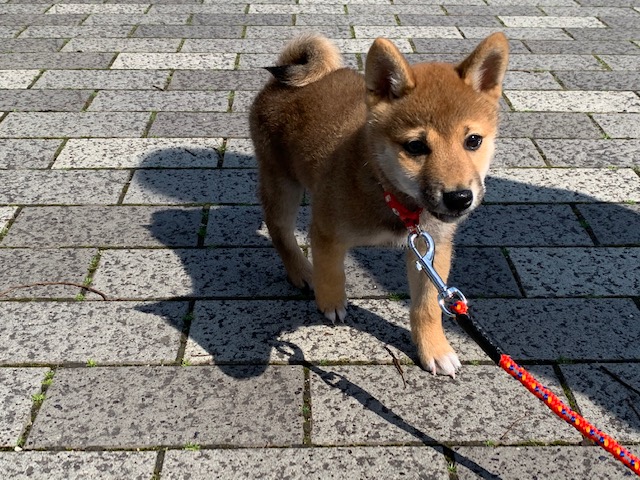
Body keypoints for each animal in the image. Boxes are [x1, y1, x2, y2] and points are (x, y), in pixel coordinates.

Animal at [250, 33, 510, 378]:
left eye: (473, 141)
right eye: (415, 146)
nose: (459, 198)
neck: (390, 195)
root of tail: (279, 83)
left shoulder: (431, 249)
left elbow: (428, 306)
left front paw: (434, 349)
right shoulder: (326, 229)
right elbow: (331, 272)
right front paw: (331, 302)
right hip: (282, 182)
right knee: (279, 229)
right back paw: (302, 271)